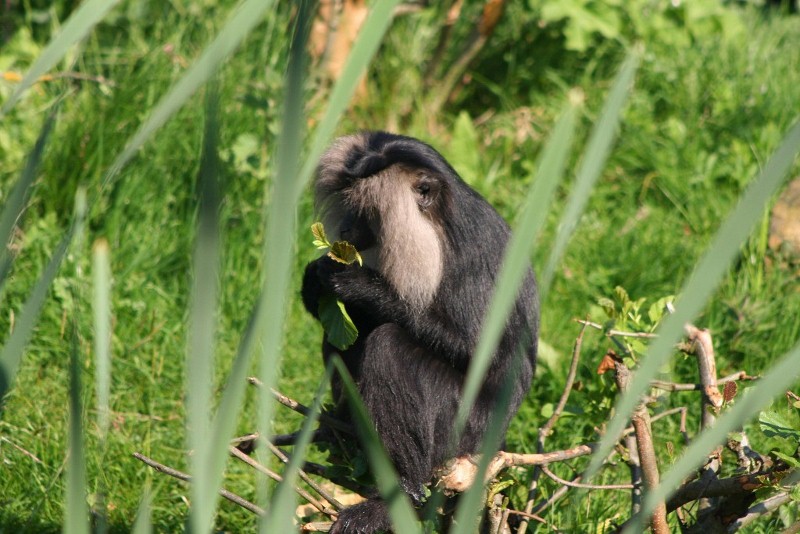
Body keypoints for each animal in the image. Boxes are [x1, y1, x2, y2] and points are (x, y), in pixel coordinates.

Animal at [301, 131, 539, 534]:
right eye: (346, 206)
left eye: (365, 212)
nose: (345, 230)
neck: (438, 220)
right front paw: (315, 283)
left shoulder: (465, 253)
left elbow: (478, 351)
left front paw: (360, 286)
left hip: (463, 426)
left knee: (388, 345)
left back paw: (399, 496)